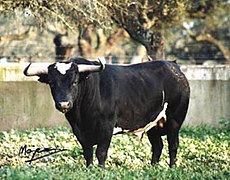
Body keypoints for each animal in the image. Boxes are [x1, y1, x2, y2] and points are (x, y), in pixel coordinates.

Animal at [23, 57, 190, 167]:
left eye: (74, 82)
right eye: (52, 83)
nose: (64, 104)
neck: (81, 116)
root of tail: (173, 66)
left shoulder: (106, 127)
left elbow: (101, 152)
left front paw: (101, 169)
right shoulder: (80, 131)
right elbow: (88, 152)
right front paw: (89, 168)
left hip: (175, 120)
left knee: (173, 144)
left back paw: (171, 167)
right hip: (153, 124)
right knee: (157, 146)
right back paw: (152, 167)